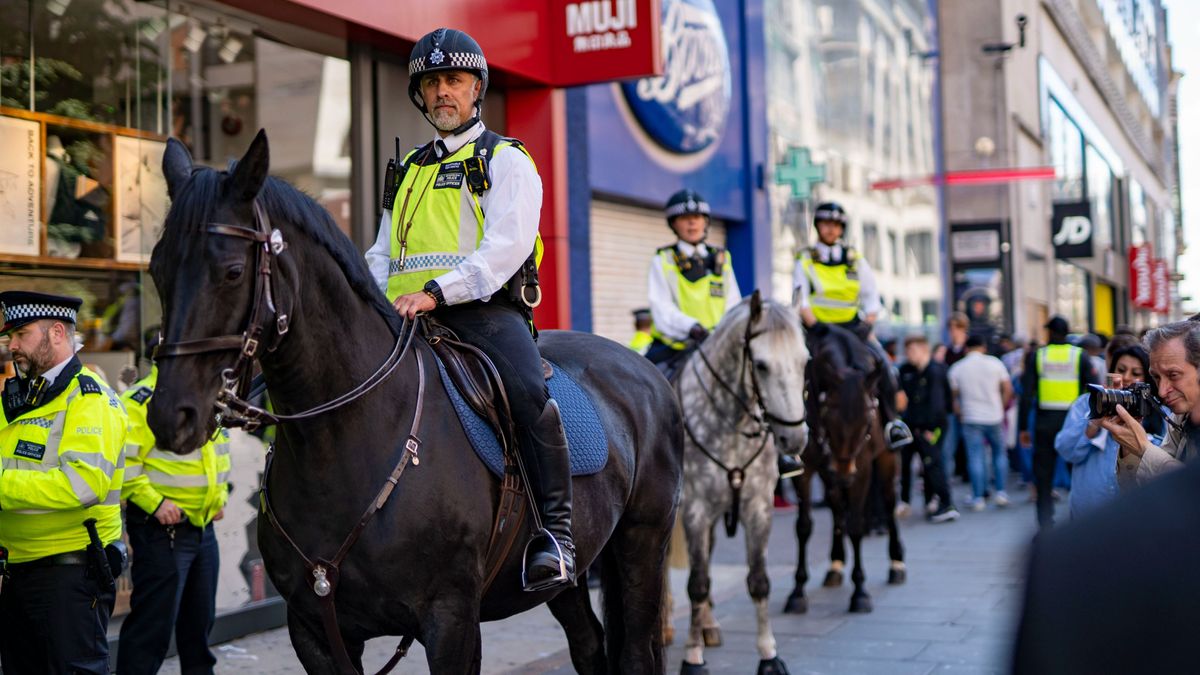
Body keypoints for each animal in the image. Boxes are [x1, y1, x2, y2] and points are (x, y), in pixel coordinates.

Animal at [145, 132, 681, 672]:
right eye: (156, 269)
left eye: (233, 272)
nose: (171, 414)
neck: (345, 443)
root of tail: (645, 371)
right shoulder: (315, 630)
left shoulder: (451, 621)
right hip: (573, 578)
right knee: (589, 643)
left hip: (641, 545)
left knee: (636, 650)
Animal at [676, 290, 806, 672]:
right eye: (761, 365)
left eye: (804, 361)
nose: (794, 439)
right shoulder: (695, 511)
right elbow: (697, 584)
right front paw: (692, 658)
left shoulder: (758, 508)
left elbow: (759, 582)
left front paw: (769, 655)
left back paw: (708, 625)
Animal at [782, 326, 902, 614]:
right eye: (829, 417)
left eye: (868, 420)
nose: (845, 473)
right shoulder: (806, 470)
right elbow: (803, 526)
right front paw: (797, 591)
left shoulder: (863, 468)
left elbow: (856, 525)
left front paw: (860, 592)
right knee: (837, 508)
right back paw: (835, 566)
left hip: (886, 459)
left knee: (889, 502)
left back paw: (896, 563)